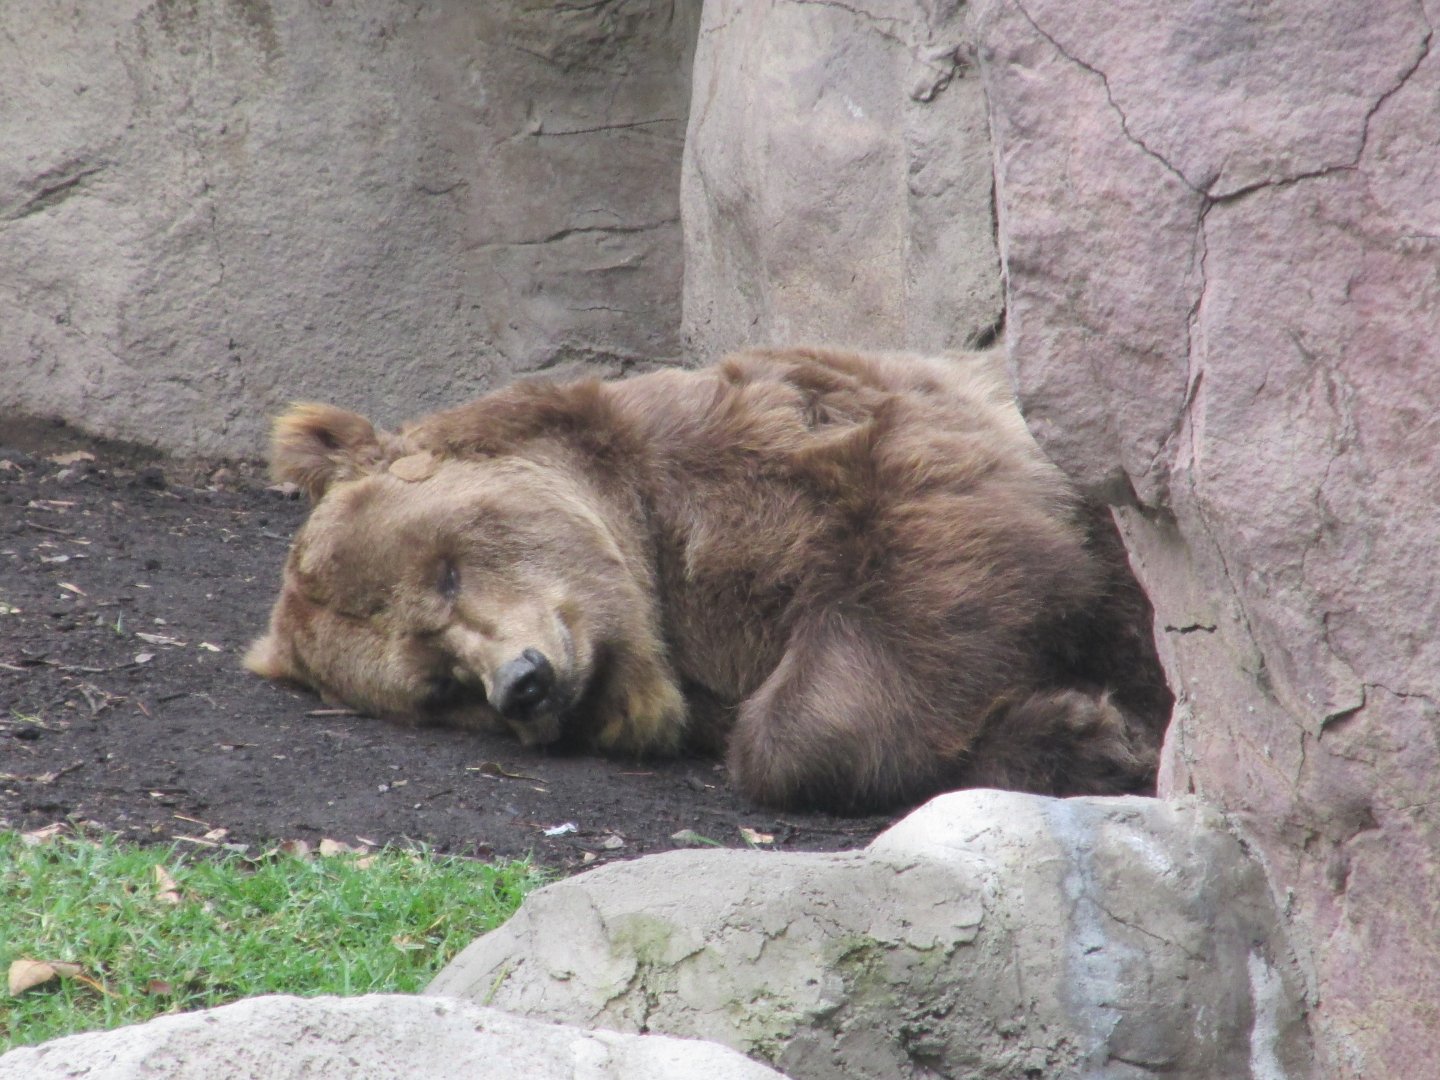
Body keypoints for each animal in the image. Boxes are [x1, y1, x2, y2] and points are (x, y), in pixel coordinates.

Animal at [246, 347, 1171, 814]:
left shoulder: (801, 442)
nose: (524, 683)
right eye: (440, 684)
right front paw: (1076, 735)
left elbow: (939, 563)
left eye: (445, 572)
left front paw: (1103, 733)